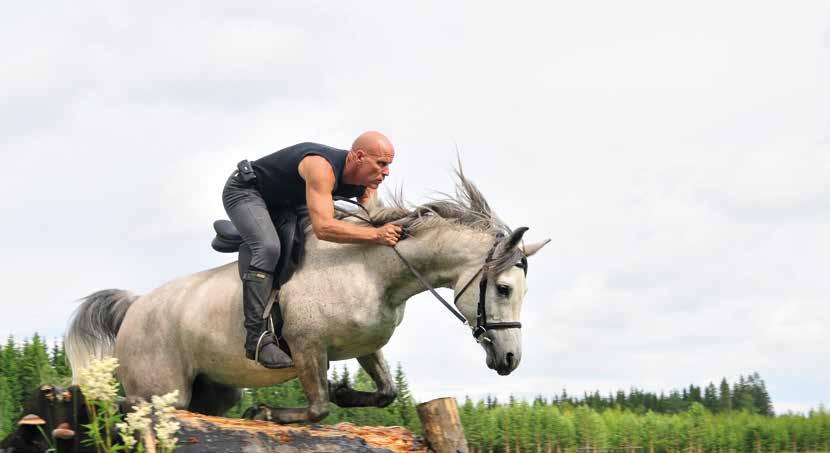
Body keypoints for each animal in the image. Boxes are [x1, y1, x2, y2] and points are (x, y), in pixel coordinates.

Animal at [63, 168, 544, 422]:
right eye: (504, 288)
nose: (510, 360)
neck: (375, 271)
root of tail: (134, 306)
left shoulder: (364, 346)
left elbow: (385, 391)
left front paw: (346, 392)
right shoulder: (307, 346)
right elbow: (317, 409)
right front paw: (269, 413)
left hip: (211, 392)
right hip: (162, 389)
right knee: (127, 404)